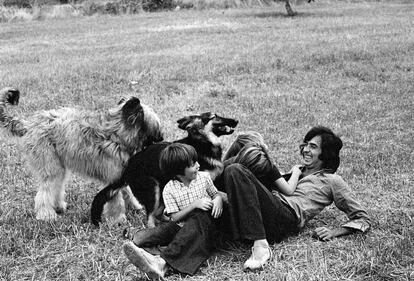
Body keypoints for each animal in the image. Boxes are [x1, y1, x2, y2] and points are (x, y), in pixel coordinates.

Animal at [0, 86, 163, 222]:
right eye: (156, 126)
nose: (162, 138)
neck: (115, 135)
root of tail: (29, 125)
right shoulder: (111, 178)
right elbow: (116, 201)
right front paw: (117, 220)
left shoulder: (119, 175)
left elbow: (127, 192)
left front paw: (135, 207)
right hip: (50, 166)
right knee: (45, 192)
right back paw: (46, 215)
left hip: (59, 167)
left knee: (56, 187)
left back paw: (58, 206)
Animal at [92, 111, 238, 225]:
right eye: (214, 116)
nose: (236, 120)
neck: (202, 142)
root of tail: (127, 169)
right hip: (153, 190)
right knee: (150, 218)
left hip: (162, 189)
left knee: (157, 213)